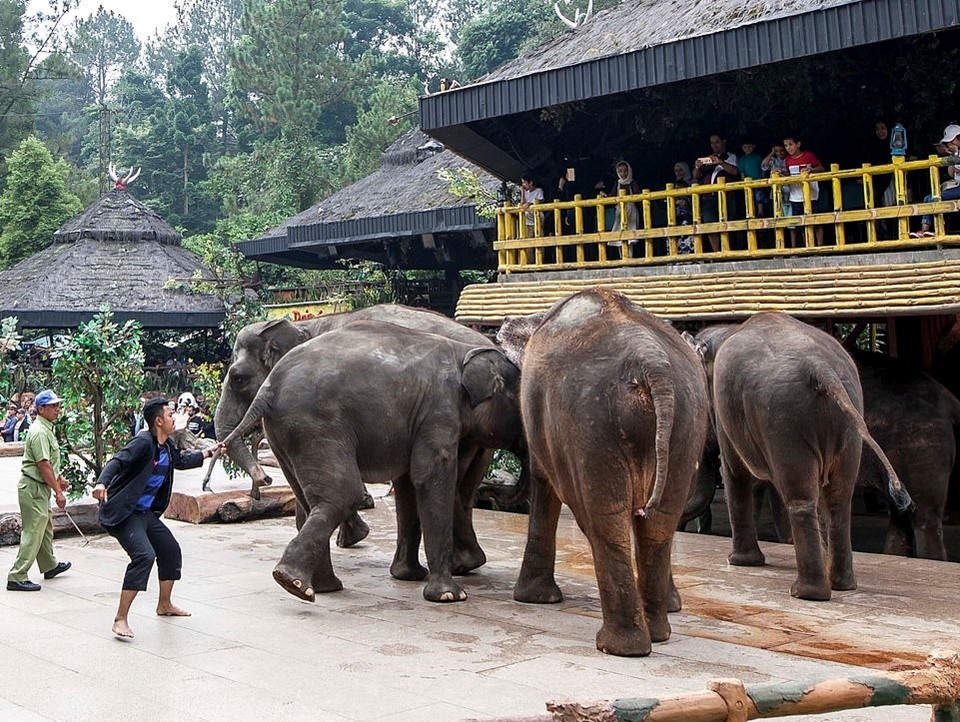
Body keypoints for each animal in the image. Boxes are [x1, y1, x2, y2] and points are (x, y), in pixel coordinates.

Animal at [498, 290, 708, 656]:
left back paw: (617, 646)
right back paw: (657, 633)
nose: (503, 321)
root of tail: (650, 361)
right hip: (685, 423)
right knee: (659, 524)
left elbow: (543, 481)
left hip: (591, 423)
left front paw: (533, 600)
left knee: (602, 521)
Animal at [700, 312, 912, 600]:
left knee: (799, 497)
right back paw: (842, 584)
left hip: (784, 416)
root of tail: (820, 367)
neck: (727, 329)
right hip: (847, 423)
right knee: (838, 499)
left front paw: (739, 562)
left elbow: (735, 471)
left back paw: (805, 592)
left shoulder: (726, 409)